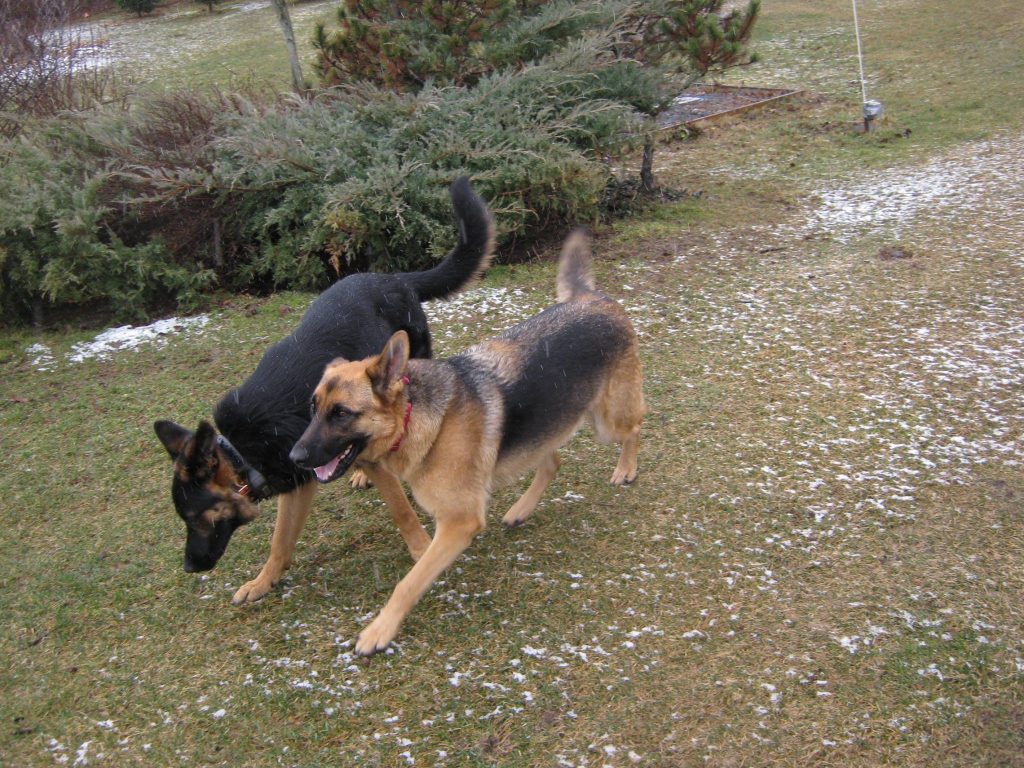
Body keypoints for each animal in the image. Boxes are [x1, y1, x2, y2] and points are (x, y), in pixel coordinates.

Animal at [149, 176, 495, 606]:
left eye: (196, 517)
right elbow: (280, 541)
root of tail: (393, 278)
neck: (242, 448)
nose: (189, 567)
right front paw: (263, 581)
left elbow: (401, 511)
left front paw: (419, 553)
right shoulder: (297, 479)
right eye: (185, 519)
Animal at [290, 230, 638, 655]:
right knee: (553, 463)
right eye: (313, 407)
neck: (416, 420)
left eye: (341, 413)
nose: (294, 456)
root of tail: (593, 298)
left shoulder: (458, 523)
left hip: (608, 421)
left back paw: (626, 468)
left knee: (636, 428)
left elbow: (408, 583)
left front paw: (380, 629)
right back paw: (522, 509)